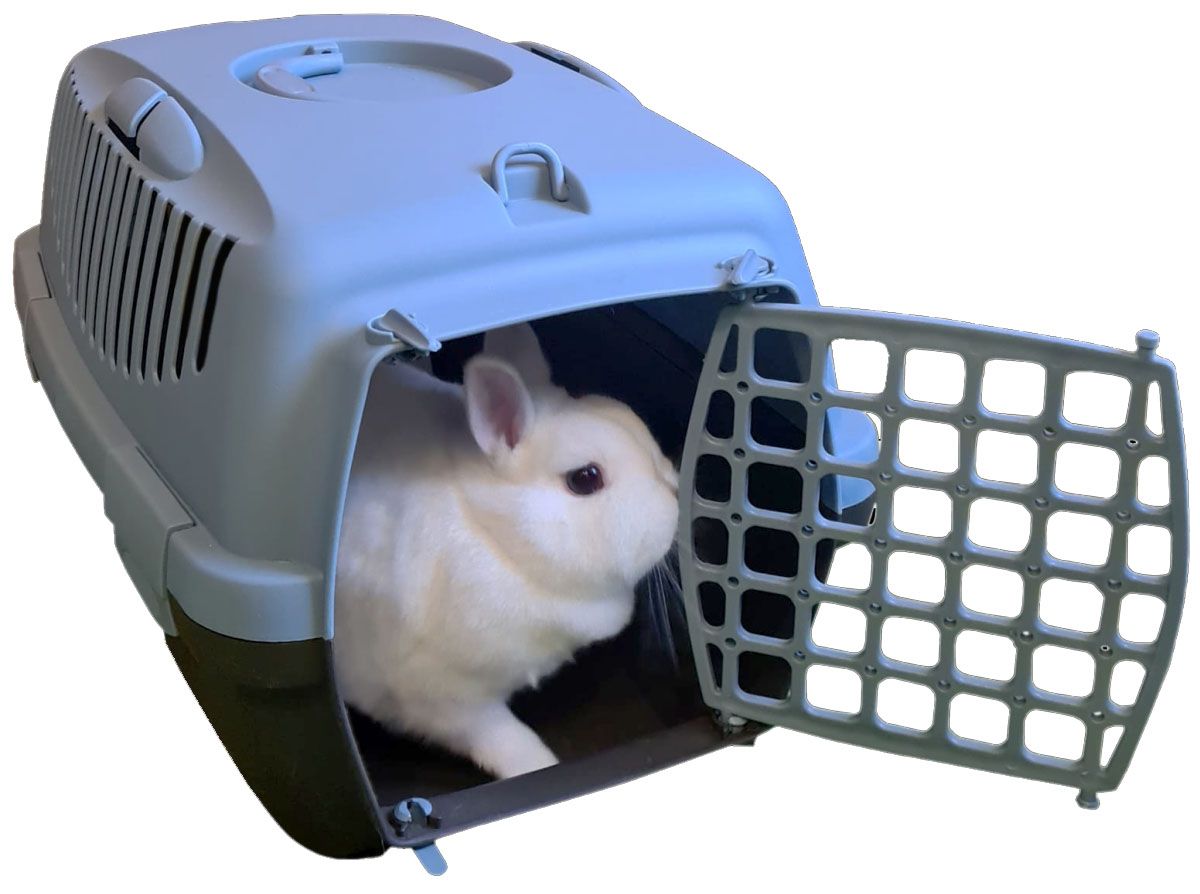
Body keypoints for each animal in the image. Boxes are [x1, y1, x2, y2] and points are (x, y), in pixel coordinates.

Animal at [333, 324, 680, 778]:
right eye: (585, 479)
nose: (676, 491)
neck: (498, 539)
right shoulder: (442, 700)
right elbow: (502, 738)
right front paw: (541, 765)